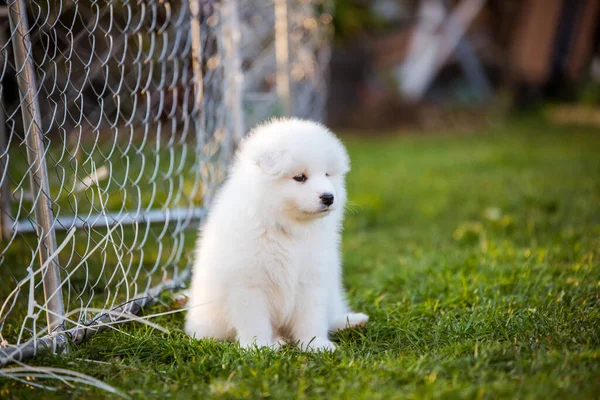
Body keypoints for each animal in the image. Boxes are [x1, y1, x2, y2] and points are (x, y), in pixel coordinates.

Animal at [185, 118, 368, 350]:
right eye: (300, 177)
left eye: (328, 174)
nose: (328, 197)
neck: (287, 229)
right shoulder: (249, 284)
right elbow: (254, 321)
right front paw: (259, 347)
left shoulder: (311, 279)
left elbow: (312, 318)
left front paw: (316, 345)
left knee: (331, 315)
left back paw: (351, 321)